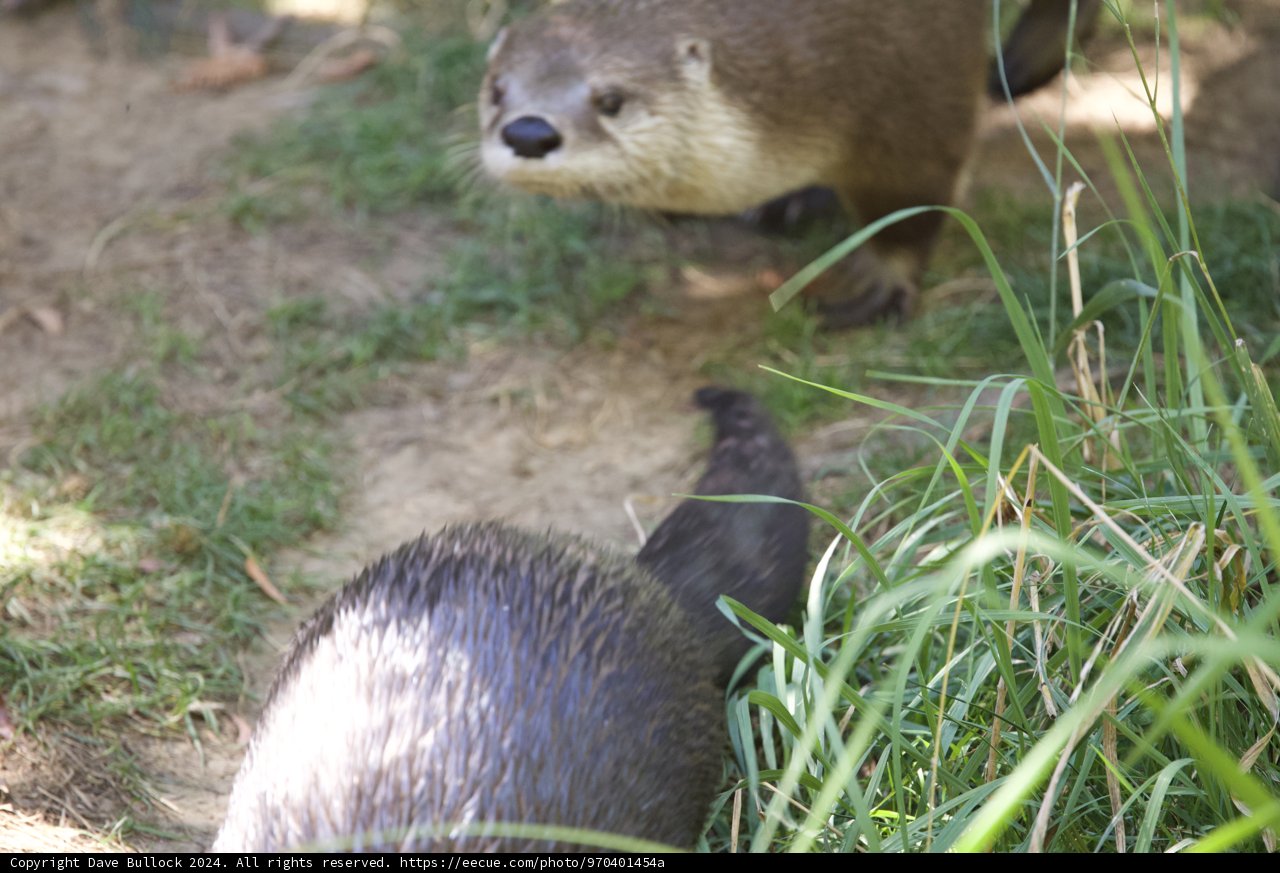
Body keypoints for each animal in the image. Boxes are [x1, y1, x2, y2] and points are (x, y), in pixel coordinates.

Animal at [479, 0, 1099, 325]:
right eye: (496, 89)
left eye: (611, 99)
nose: (528, 132)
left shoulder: (914, 86)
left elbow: (911, 204)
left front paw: (879, 287)